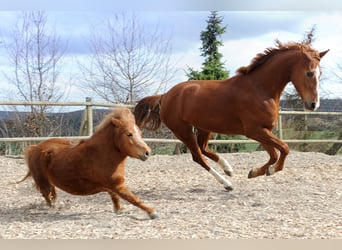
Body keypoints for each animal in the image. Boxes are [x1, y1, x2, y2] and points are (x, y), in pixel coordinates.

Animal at [18, 107, 157, 219]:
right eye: (129, 134)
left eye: (140, 133)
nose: (147, 152)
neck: (103, 155)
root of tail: (35, 148)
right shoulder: (116, 185)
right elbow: (132, 198)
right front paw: (152, 212)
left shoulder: (112, 185)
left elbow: (115, 197)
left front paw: (119, 209)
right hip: (42, 180)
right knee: (46, 195)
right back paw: (53, 208)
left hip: (49, 180)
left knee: (51, 193)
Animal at [134, 40, 328, 190]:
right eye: (309, 73)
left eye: (320, 73)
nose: (313, 105)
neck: (260, 89)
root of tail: (165, 95)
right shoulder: (254, 131)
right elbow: (284, 149)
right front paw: (269, 171)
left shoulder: (264, 131)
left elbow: (274, 153)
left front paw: (255, 172)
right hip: (183, 130)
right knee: (198, 156)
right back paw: (227, 183)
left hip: (204, 127)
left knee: (203, 148)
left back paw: (228, 169)